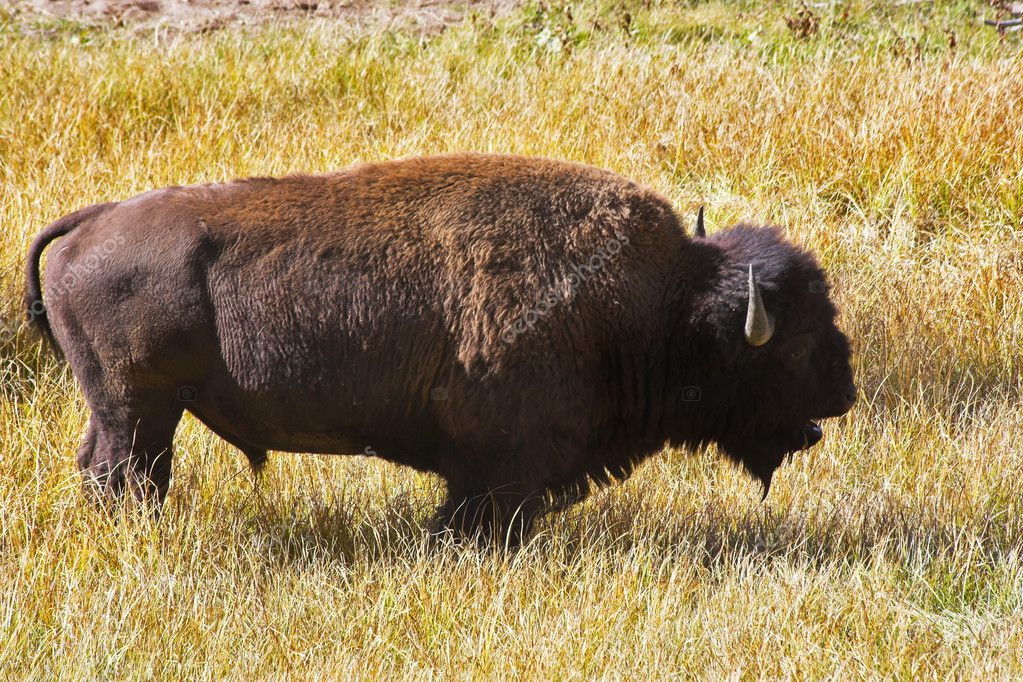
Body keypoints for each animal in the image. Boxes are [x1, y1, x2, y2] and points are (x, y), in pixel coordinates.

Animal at [24, 154, 855, 543]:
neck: (659, 303)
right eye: (793, 344)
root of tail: (92, 221)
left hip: (128, 408)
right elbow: (479, 513)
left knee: (112, 469)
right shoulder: (500, 463)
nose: (842, 394)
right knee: (126, 473)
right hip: (139, 407)